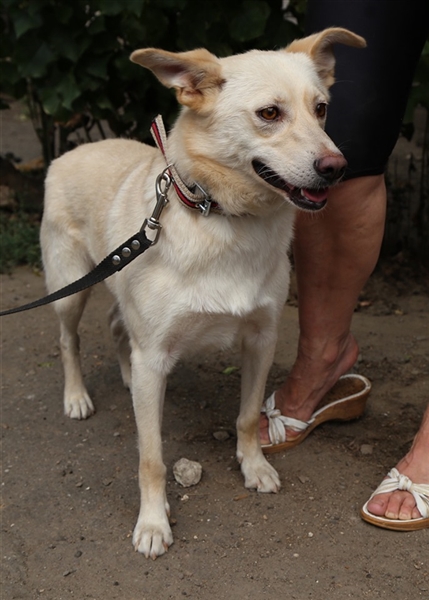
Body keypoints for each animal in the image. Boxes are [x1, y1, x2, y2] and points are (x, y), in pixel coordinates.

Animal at [40, 27, 365, 559]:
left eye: (320, 108)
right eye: (269, 113)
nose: (336, 167)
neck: (225, 220)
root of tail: (68, 152)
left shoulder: (261, 339)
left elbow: (248, 417)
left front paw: (254, 467)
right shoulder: (155, 352)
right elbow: (151, 457)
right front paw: (153, 524)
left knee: (116, 326)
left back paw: (126, 376)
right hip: (69, 289)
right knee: (70, 339)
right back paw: (76, 396)